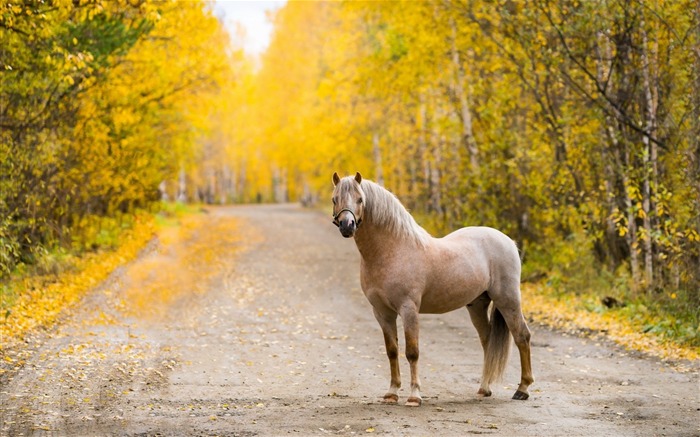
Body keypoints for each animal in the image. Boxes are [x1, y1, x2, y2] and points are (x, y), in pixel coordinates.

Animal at [330, 170, 532, 406]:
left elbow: (412, 352)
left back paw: (522, 389)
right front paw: (392, 393)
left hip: (508, 299)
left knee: (522, 336)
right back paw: (484, 389)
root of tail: (508, 241)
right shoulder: (382, 313)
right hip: (477, 305)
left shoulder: (409, 309)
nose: (347, 226)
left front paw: (414, 396)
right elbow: (392, 351)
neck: (393, 250)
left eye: (360, 199)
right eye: (335, 199)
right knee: (487, 342)